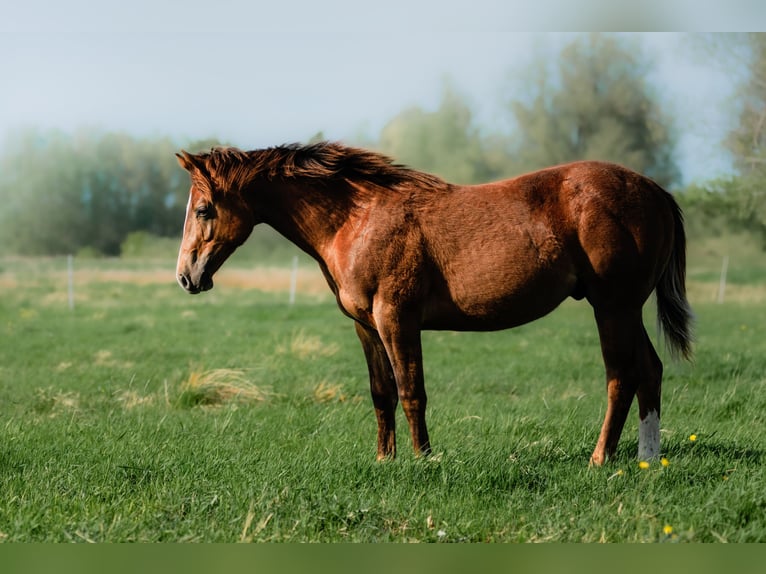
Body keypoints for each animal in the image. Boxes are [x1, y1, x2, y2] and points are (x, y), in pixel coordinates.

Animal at [175, 142, 693, 465]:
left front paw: (423, 459)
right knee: (649, 371)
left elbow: (411, 391)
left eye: (203, 209)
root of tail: (654, 190)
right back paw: (647, 459)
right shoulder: (366, 326)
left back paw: (600, 458)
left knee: (621, 377)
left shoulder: (396, 319)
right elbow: (381, 393)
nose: (186, 276)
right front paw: (385, 459)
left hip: (613, 309)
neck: (357, 220)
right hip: (626, 310)